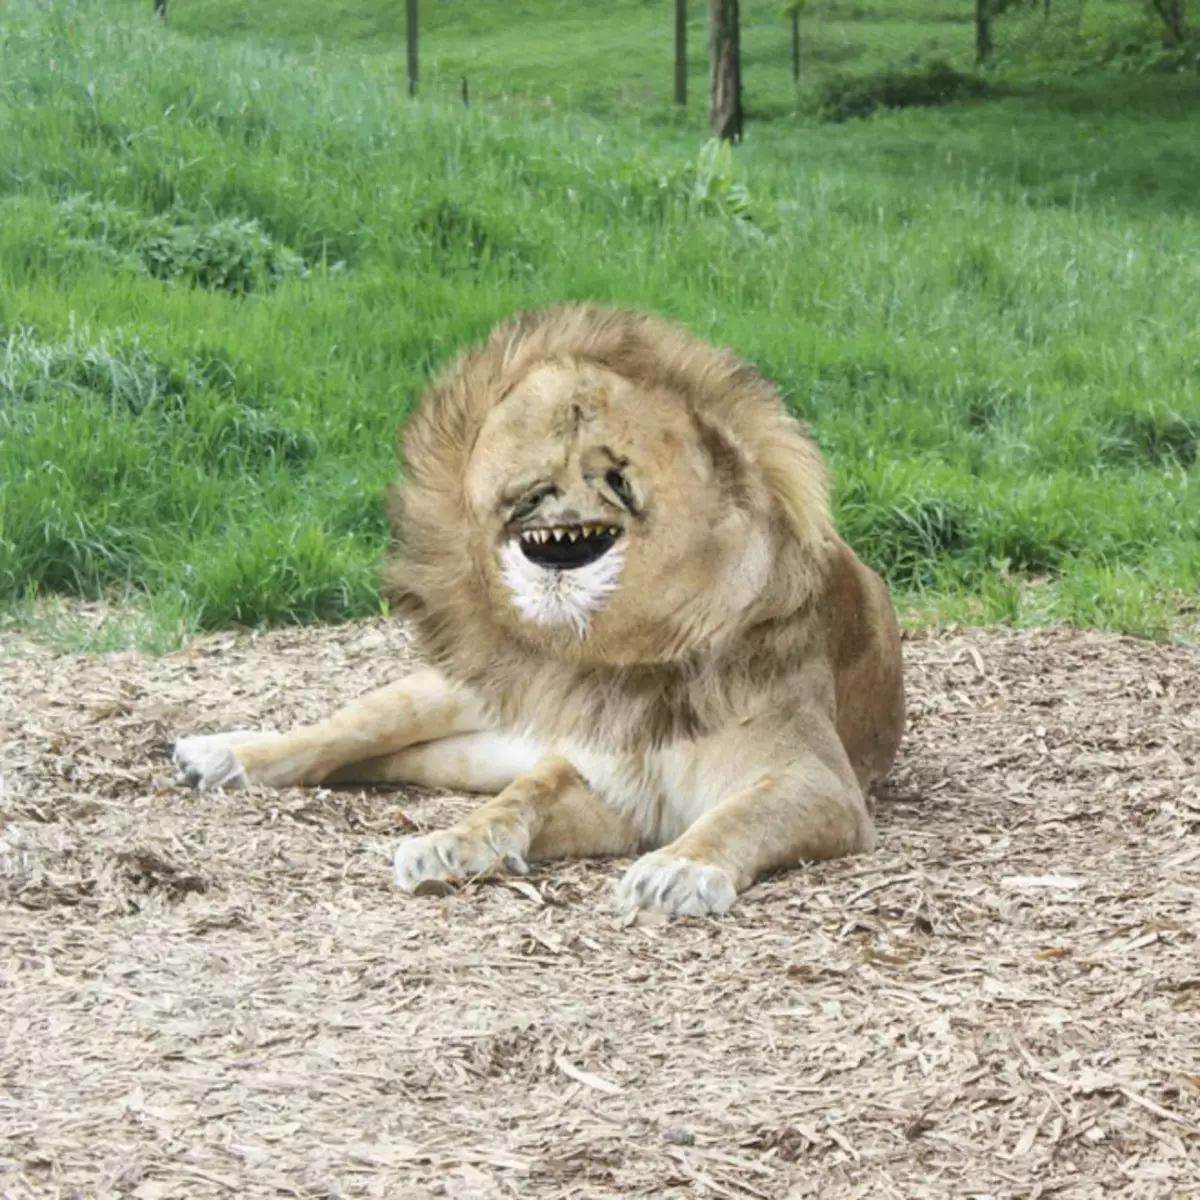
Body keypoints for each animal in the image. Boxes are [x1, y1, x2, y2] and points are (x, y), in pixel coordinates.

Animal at [174, 304, 902, 912]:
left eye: (617, 473)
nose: (534, 501)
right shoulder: (598, 780)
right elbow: (522, 798)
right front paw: (452, 845)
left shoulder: (816, 781)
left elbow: (736, 815)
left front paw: (679, 871)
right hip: (443, 696)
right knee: (336, 737)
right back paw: (218, 754)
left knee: (383, 761)